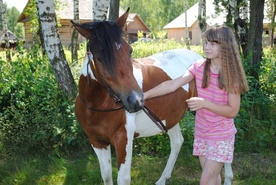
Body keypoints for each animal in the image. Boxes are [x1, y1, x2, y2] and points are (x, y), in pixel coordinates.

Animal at [71, 7, 233, 185]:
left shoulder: (123, 140)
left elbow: (123, 178)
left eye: (130, 51)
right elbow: (106, 175)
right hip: (170, 117)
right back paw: (163, 179)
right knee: (177, 142)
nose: (136, 100)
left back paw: (228, 178)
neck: (97, 106)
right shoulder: (97, 142)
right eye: (100, 58)